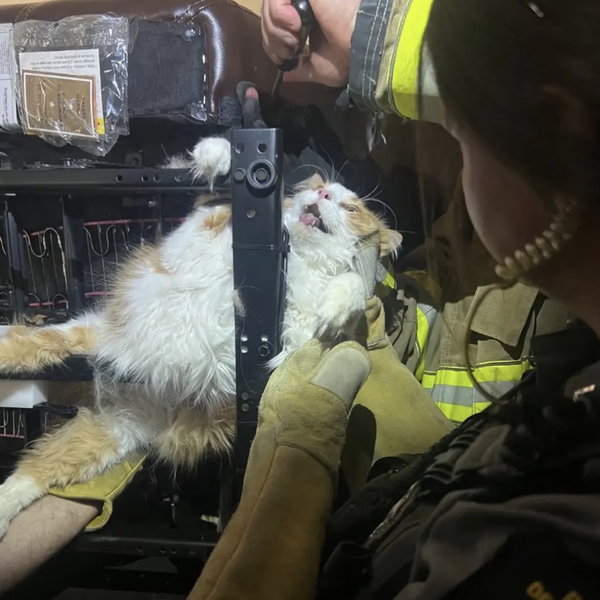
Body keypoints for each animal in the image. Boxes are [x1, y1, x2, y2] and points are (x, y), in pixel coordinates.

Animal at [0, 136, 402, 539]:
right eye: (320, 190)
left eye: (350, 207)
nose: (321, 193)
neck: (295, 258)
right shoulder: (202, 226)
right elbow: (214, 195)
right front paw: (221, 155)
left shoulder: (297, 343)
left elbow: (350, 286)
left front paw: (334, 307)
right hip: (88, 341)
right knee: (26, 348)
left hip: (111, 435)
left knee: (32, 473)